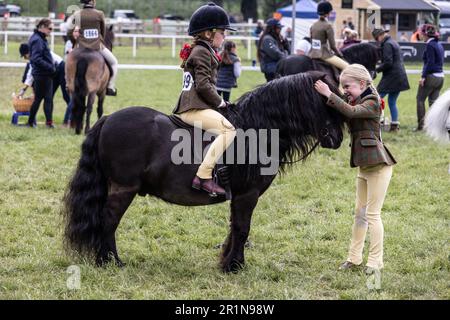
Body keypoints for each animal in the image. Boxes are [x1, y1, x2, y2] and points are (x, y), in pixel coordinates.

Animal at [62, 71, 344, 274]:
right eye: (324, 100)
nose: (338, 139)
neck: (257, 130)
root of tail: (107, 119)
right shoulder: (247, 195)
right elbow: (242, 228)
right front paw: (234, 266)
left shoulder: (239, 196)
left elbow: (234, 227)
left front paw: (227, 262)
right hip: (123, 188)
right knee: (108, 220)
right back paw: (109, 262)